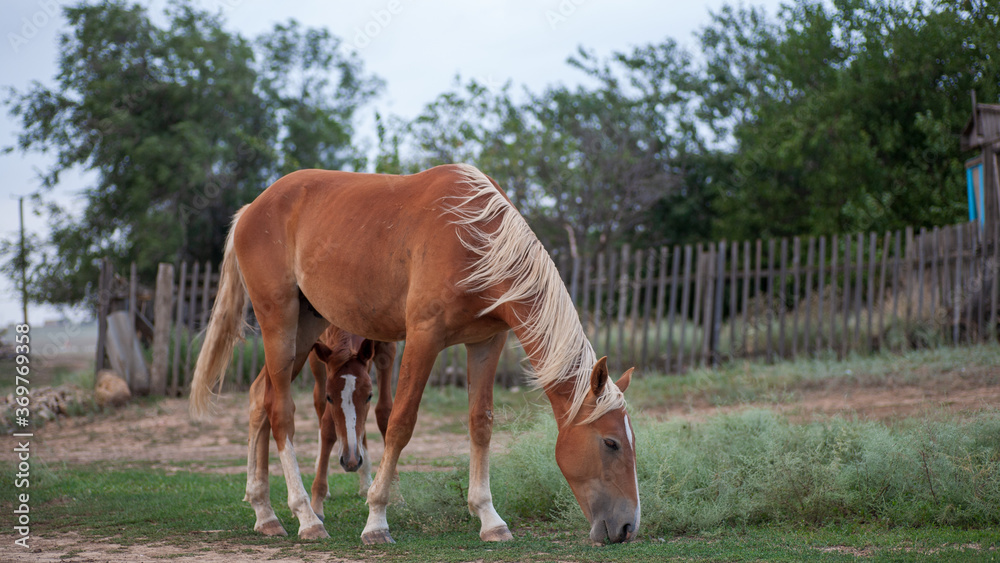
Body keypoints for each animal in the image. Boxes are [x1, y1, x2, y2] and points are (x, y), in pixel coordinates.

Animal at [190, 163, 639, 544]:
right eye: (611, 443)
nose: (628, 527)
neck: (476, 238)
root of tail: (253, 207)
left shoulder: (486, 342)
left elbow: (480, 423)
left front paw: (489, 518)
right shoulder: (424, 338)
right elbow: (400, 423)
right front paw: (376, 520)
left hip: (306, 327)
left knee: (258, 398)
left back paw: (265, 514)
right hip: (278, 321)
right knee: (281, 411)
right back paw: (305, 516)